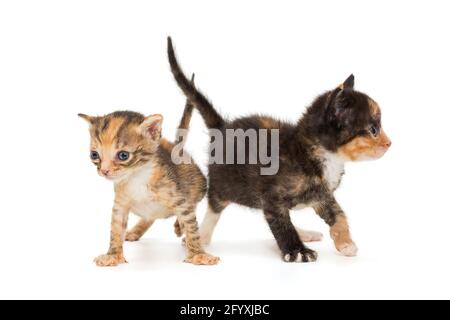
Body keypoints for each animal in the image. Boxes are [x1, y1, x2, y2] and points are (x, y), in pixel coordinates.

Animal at [165, 37, 390, 262]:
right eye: (373, 130)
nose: (389, 143)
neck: (321, 154)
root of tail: (223, 127)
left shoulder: (322, 194)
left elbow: (338, 214)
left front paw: (345, 243)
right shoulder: (272, 197)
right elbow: (282, 225)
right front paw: (297, 251)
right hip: (225, 182)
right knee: (214, 205)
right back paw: (202, 235)